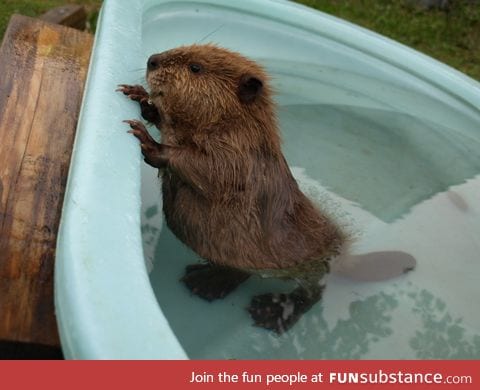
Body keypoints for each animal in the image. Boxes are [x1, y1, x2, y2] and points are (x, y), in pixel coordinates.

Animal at [118, 45, 346, 332]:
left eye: (195, 67)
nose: (152, 60)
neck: (238, 123)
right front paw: (138, 96)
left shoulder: (239, 154)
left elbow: (209, 170)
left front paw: (148, 141)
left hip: (303, 265)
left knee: (311, 291)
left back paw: (258, 306)